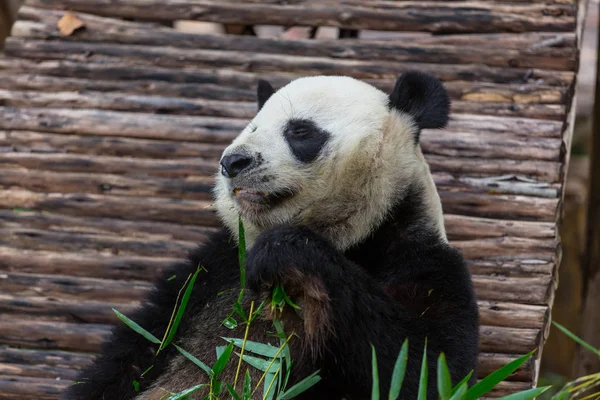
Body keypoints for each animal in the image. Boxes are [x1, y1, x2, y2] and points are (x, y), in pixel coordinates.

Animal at [64, 72, 478, 400]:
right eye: (252, 128)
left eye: (300, 131)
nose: (233, 162)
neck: (351, 236)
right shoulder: (214, 266)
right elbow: (144, 344)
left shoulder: (416, 255)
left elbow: (427, 368)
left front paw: (285, 252)